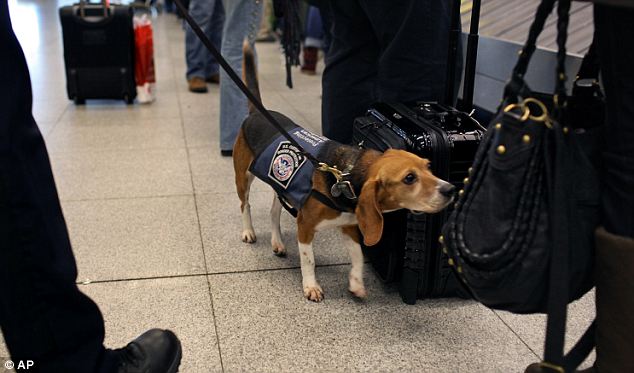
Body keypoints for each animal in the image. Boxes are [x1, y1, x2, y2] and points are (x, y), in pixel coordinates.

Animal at [232, 43, 454, 300]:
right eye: (409, 178)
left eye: (428, 166)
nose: (451, 189)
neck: (346, 176)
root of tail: (257, 113)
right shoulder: (305, 226)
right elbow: (309, 260)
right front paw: (311, 286)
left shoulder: (349, 226)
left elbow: (357, 257)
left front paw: (356, 283)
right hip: (243, 177)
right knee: (245, 205)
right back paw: (248, 231)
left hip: (282, 187)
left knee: (273, 213)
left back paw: (277, 242)